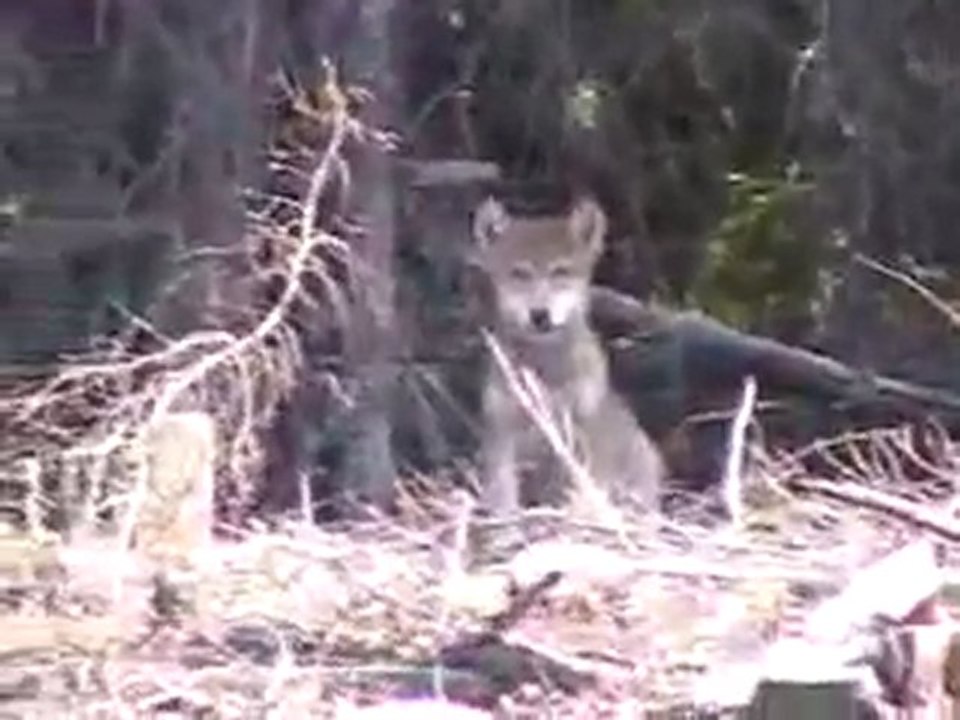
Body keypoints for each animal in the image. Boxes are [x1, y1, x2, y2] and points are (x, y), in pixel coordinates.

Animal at [471, 195, 663, 517]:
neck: (545, 371)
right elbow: (503, 494)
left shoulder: (583, 431)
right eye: (519, 273)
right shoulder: (503, 432)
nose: (539, 315)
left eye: (560, 272)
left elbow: (584, 490)